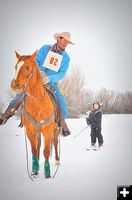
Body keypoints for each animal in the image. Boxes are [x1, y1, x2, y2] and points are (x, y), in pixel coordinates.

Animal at [10, 50, 59, 178]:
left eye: (27, 67)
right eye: (16, 66)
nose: (15, 85)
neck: (38, 103)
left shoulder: (47, 130)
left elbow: (46, 151)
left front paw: (47, 173)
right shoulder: (30, 131)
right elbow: (34, 150)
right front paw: (35, 169)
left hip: (55, 130)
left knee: (55, 143)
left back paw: (57, 160)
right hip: (38, 132)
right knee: (38, 145)